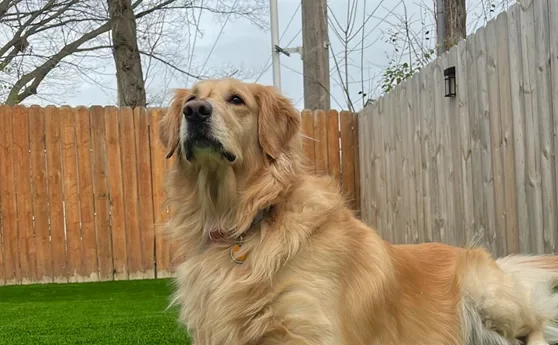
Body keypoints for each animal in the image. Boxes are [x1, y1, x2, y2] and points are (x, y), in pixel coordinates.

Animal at [158, 78, 558, 344]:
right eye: (190, 99)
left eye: (237, 100)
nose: (195, 112)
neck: (245, 222)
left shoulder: (309, 329)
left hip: (489, 294)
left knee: (537, 324)